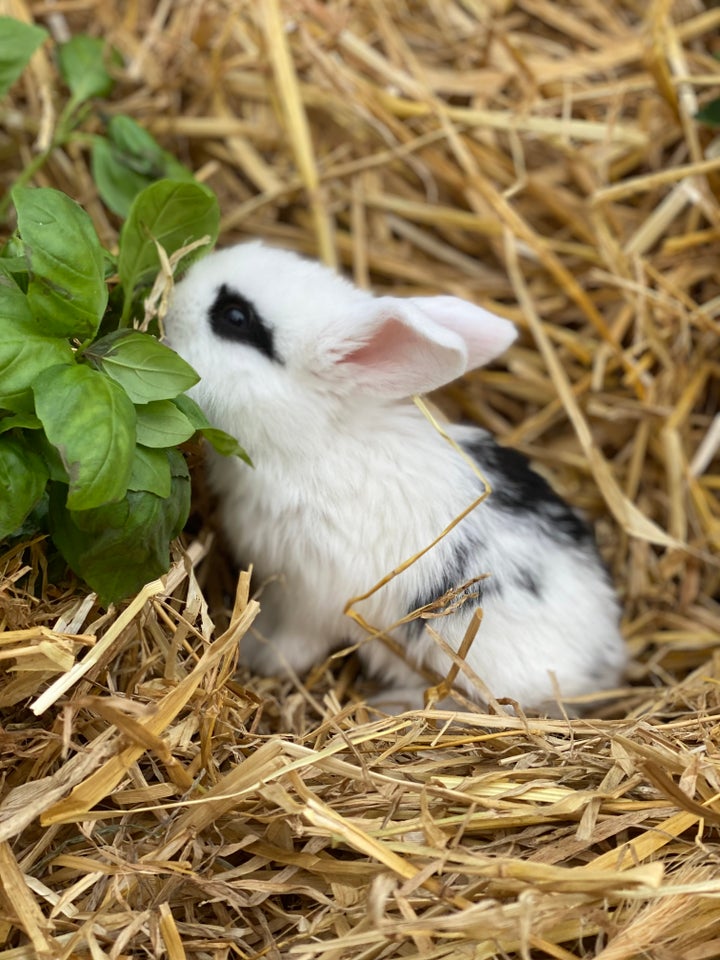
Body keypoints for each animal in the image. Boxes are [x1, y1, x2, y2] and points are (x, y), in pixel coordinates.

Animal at [165, 242, 624, 712]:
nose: (174, 295)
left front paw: (260, 657)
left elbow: (295, 645)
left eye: (235, 316)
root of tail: (604, 660)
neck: (315, 440)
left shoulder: (311, 601)